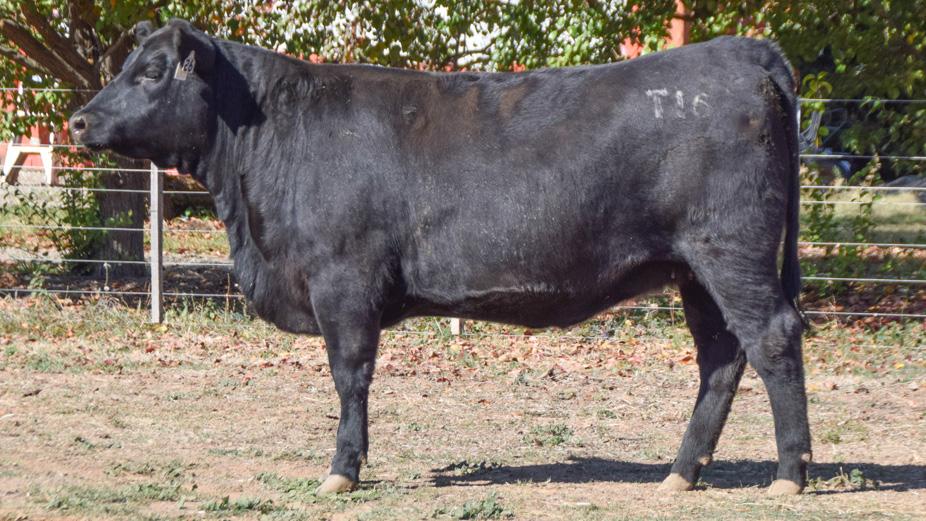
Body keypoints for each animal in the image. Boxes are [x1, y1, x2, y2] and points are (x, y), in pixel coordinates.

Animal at [70, 19, 811, 496]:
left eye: (151, 72)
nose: (78, 120)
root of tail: (743, 52)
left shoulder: (342, 282)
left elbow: (350, 377)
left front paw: (342, 470)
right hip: (695, 270)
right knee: (721, 357)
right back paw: (680, 473)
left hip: (731, 251)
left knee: (772, 337)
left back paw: (789, 473)